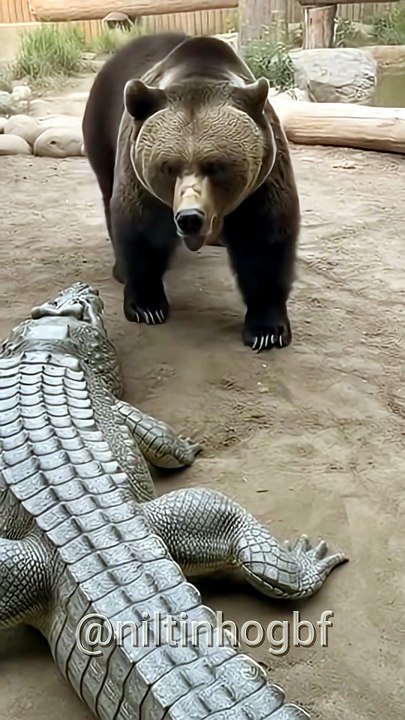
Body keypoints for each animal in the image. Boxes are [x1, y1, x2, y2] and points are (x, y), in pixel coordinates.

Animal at [82, 32, 300, 352]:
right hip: (102, 130)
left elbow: (265, 241)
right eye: (168, 166)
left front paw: (267, 330)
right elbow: (139, 230)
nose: (189, 218)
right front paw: (147, 305)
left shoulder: (264, 180)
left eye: (216, 165)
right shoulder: (139, 178)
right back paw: (120, 269)